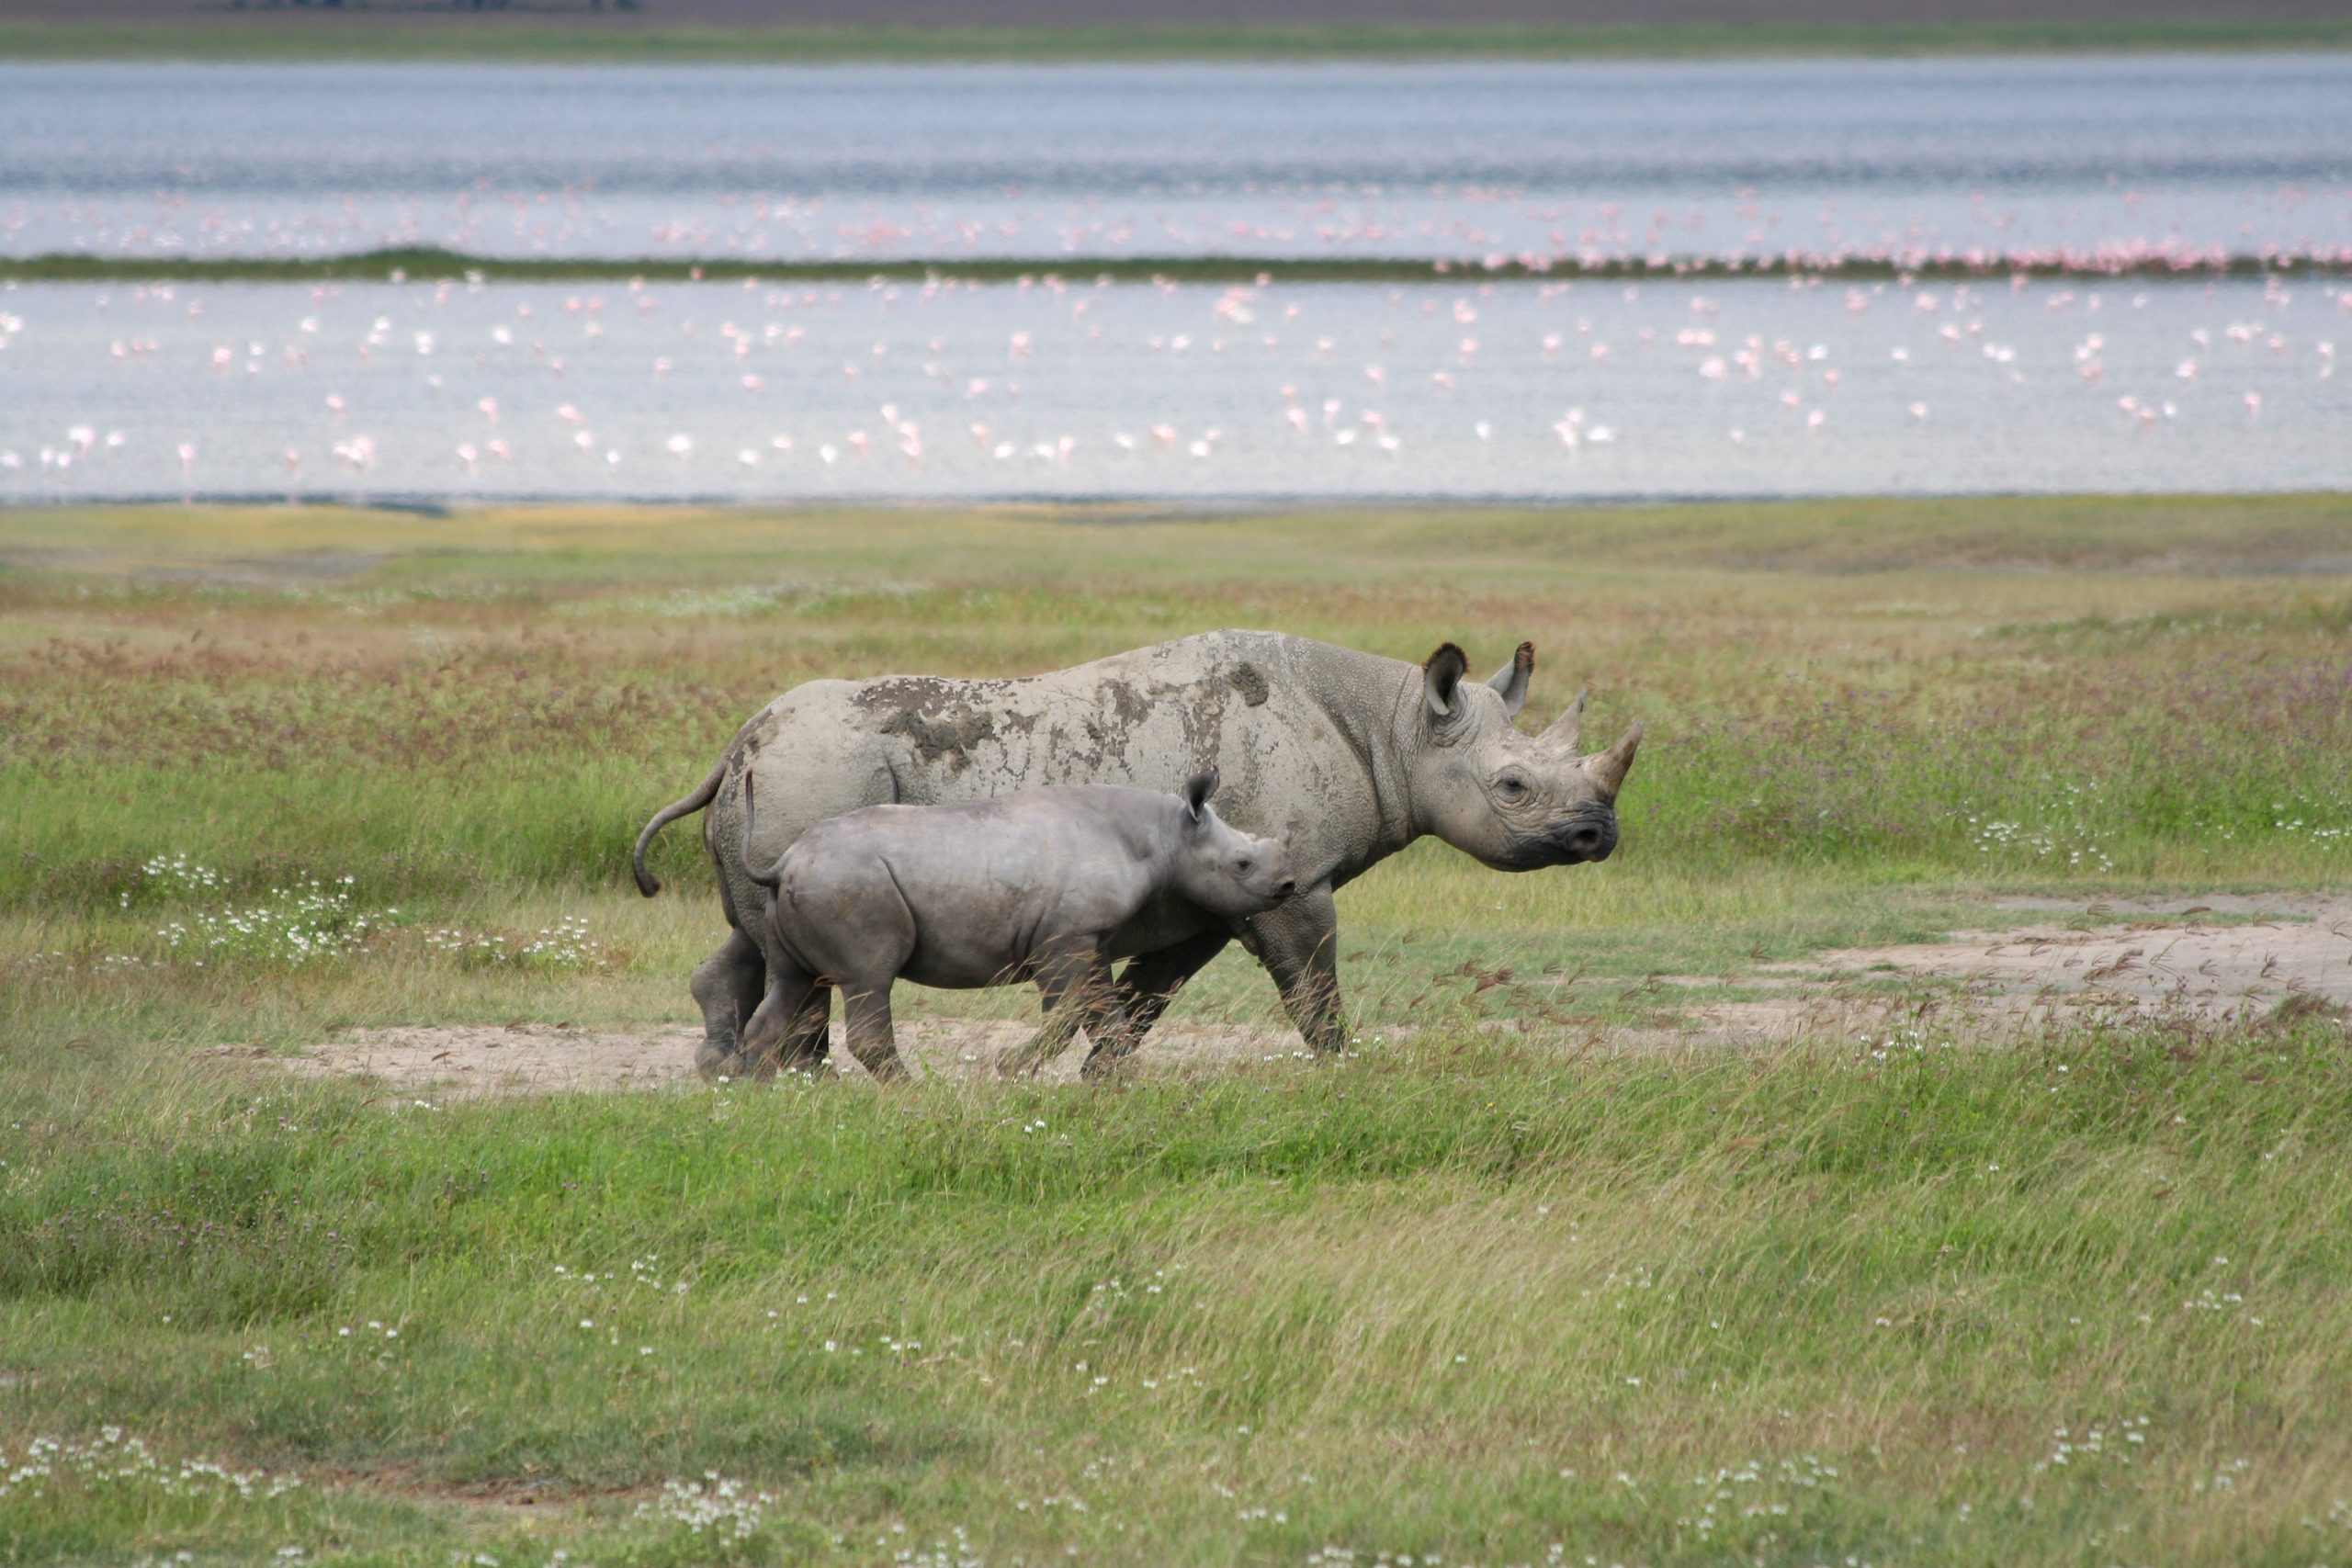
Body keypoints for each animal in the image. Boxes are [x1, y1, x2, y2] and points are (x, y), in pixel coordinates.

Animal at [734, 767, 1294, 1081]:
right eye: (1243, 864)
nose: (1288, 885)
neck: (1168, 837)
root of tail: (783, 862)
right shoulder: (1064, 937)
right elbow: (1070, 1012)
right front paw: (1009, 1069)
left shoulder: (1085, 938)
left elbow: (1097, 1013)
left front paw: (1117, 1081)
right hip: (851, 886)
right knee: (868, 977)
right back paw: (913, 1093)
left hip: (805, 890)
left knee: (790, 984)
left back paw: (750, 1096)